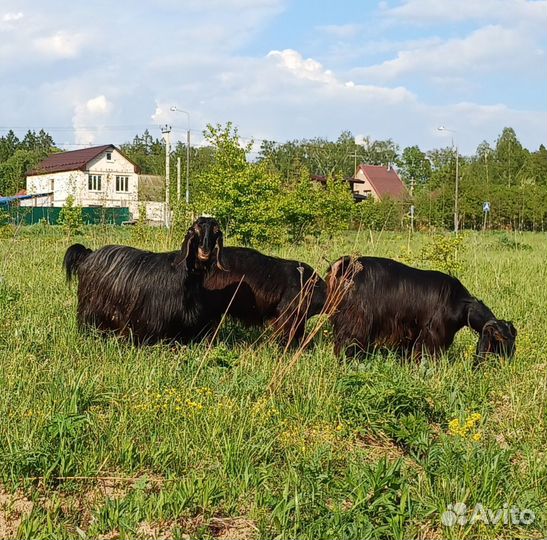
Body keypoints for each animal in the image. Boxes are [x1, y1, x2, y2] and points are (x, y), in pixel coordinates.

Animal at [330, 255, 520, 360]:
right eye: (502, 338)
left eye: (514, 336)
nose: (510, 358)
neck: (460, 303)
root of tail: (347, 265)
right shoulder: (432, 335)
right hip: (357, 320)